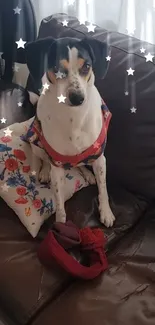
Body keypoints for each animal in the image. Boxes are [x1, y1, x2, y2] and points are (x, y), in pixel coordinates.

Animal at [25, 35, 115, 227]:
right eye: (57, 69)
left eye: (86, 66)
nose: (77, 98)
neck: (74, 116)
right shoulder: (57, 167)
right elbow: (59, 204)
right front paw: (60, 226)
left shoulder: (99, 158)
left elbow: (103, 189)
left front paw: (106, 212)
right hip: (36, 142)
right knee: (42, 157)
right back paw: (44, 171)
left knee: (80, 165)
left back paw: (88, 174)